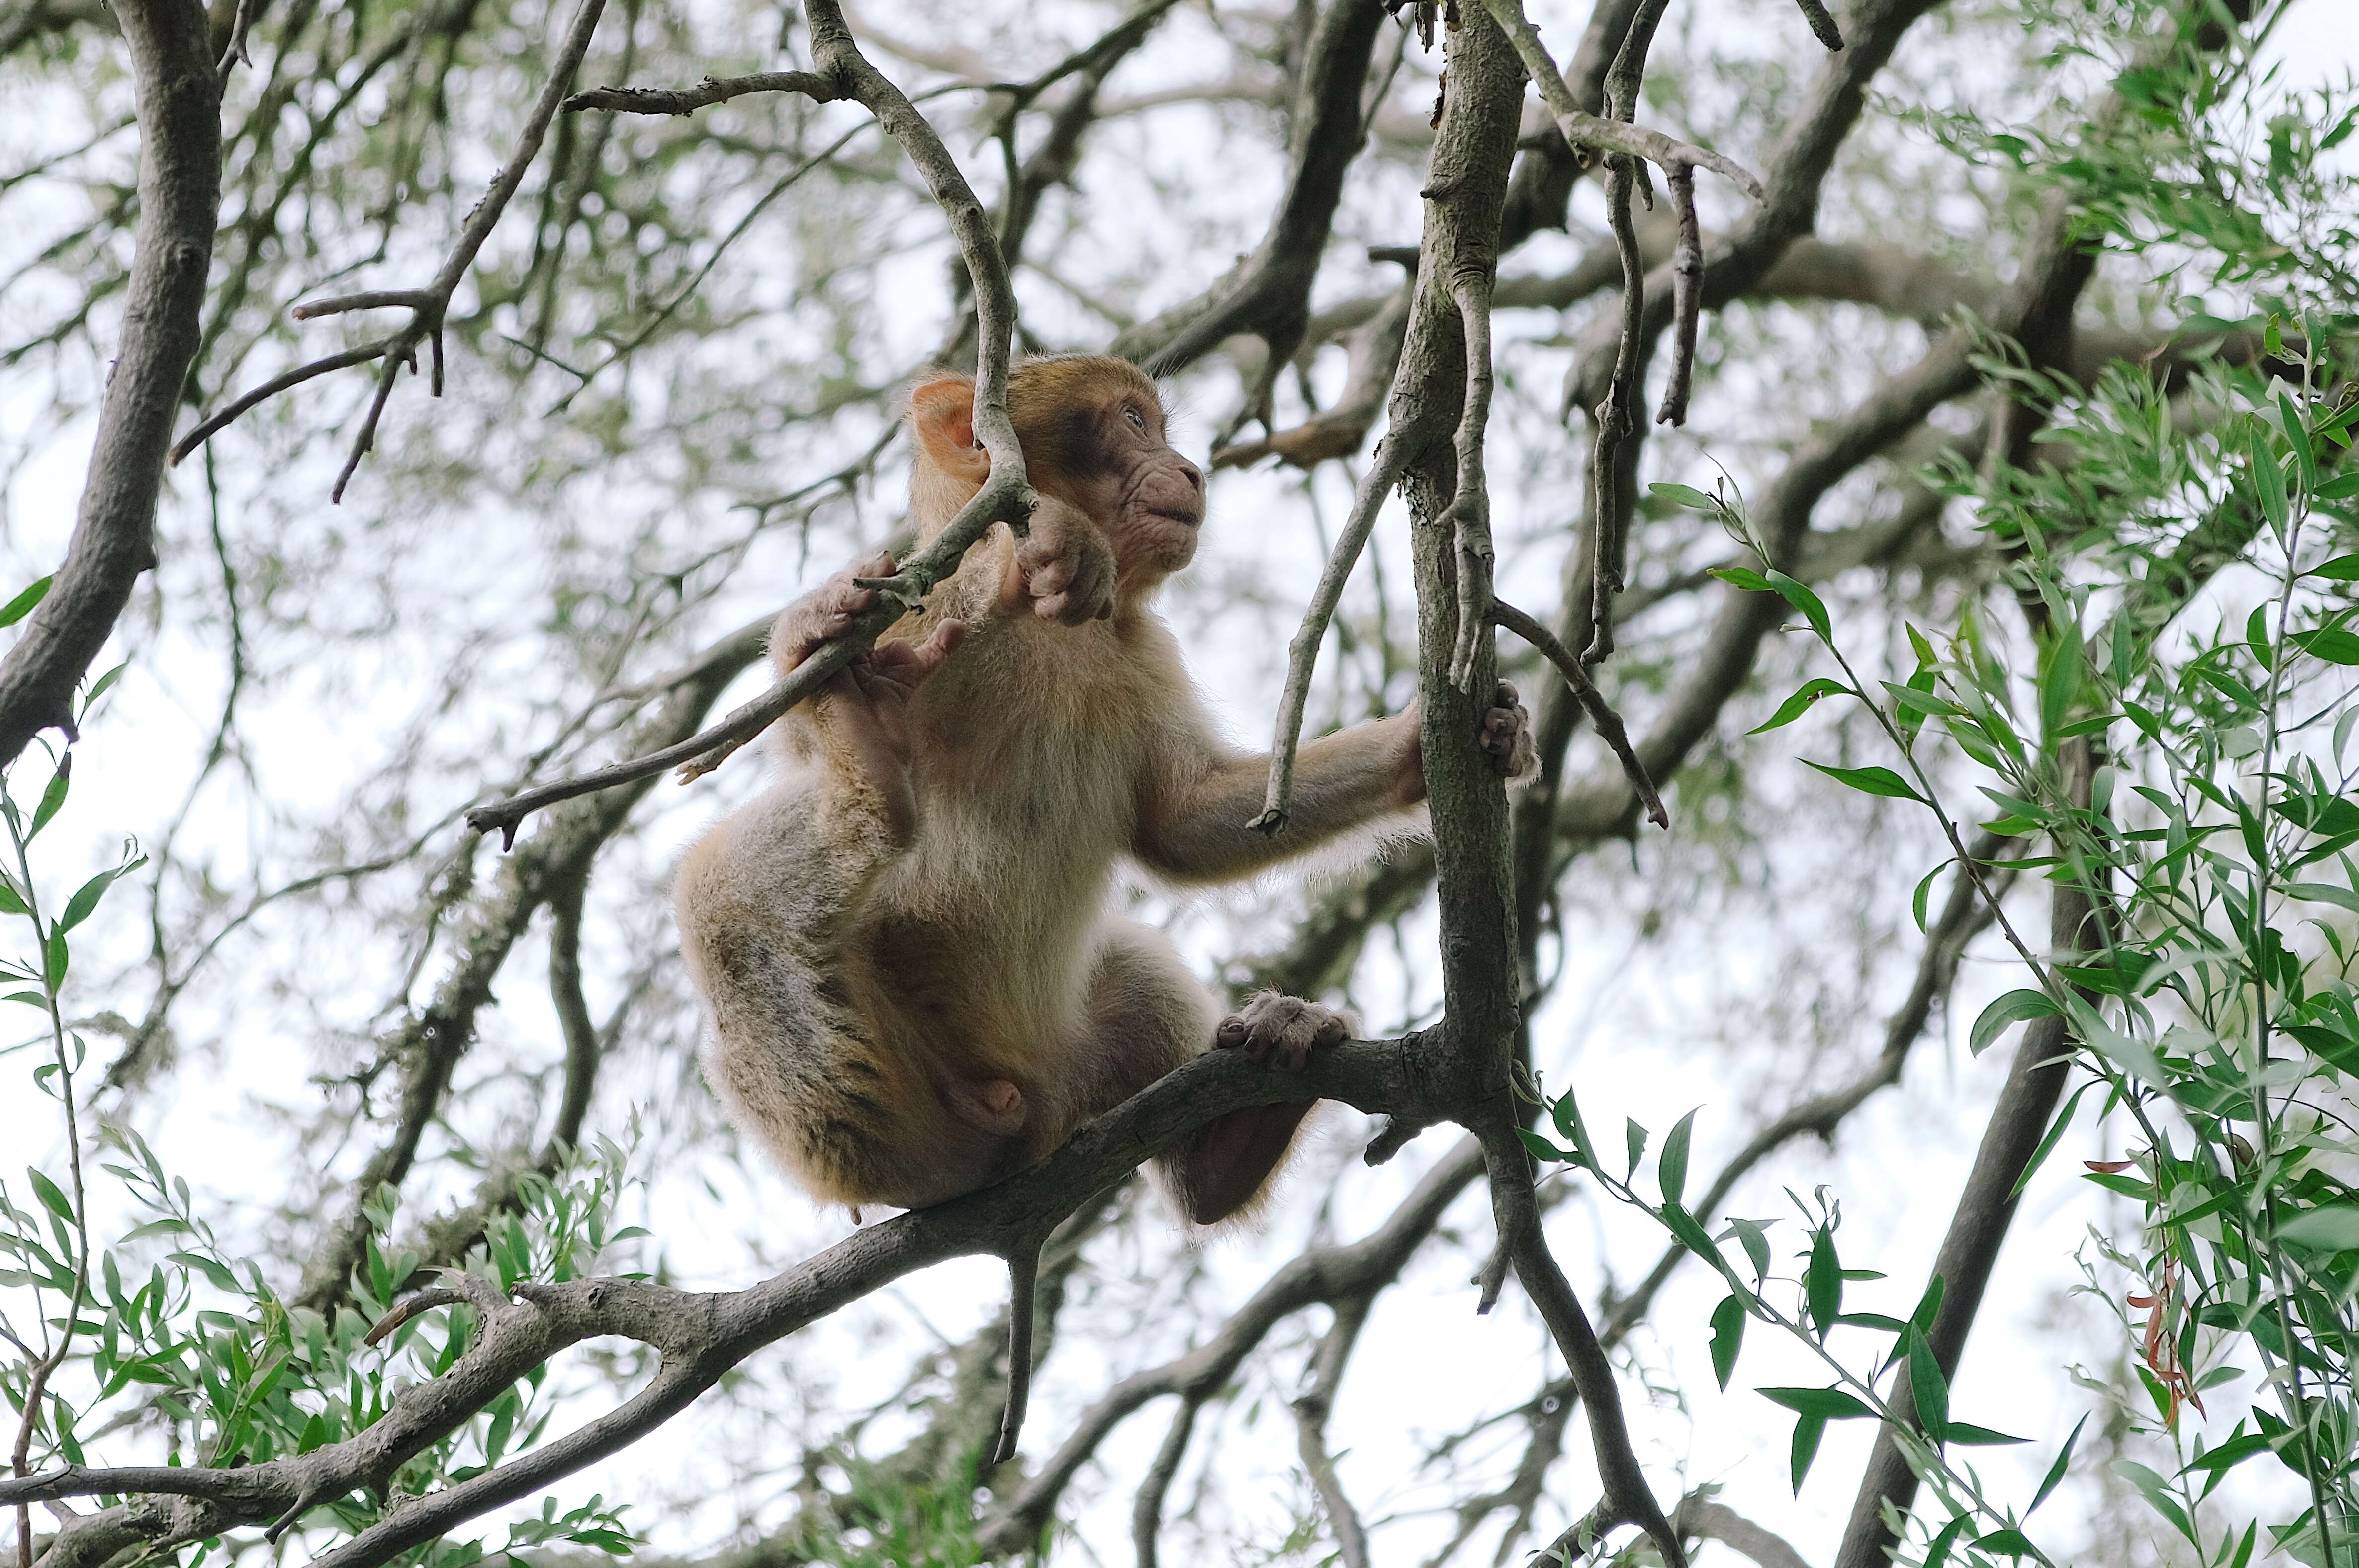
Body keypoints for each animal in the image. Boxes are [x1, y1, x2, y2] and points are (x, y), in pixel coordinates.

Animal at [674, 354, 1538, 1226]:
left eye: (1155, 425)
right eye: (1130, 423)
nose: (1190, 470)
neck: (1072, 635)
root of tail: (1010, 1132)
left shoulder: (1140, 645)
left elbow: (1184, 825)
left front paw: (1431, 749)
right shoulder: (920, 607)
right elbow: (809, 711)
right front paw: (1034, 552)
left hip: (1067, 1066)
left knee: (1132, 974)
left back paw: (1229, 1153)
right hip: (870, 1123)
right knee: (723, 899)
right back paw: (872, 776)